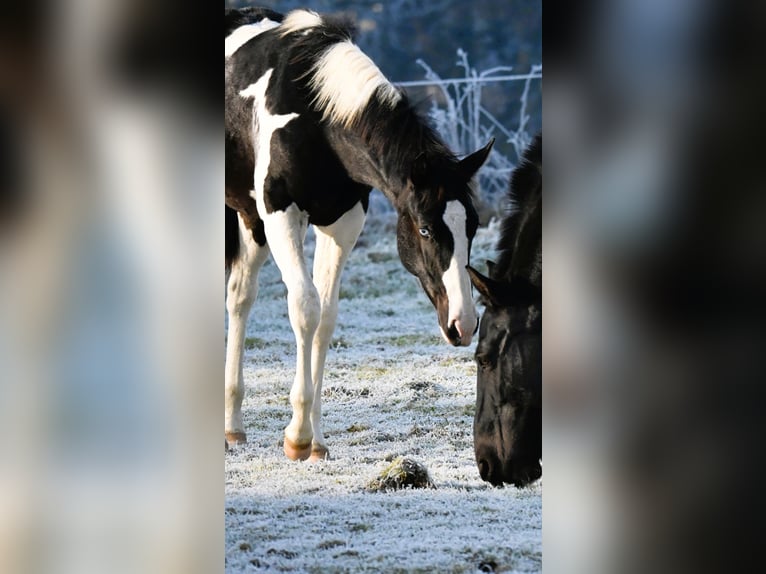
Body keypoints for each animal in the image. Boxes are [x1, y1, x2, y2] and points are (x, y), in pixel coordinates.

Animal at [225, 6, 496, 462]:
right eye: (425, 228)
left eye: (472, 226)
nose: (463, 324)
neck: (314, 117)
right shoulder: (281, 214)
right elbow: (305, 308)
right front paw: (297, 436)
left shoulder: (342, 223)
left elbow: (327, 316)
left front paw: (316, 440)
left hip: (250, 220)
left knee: (240, 298)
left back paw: (233, 427)